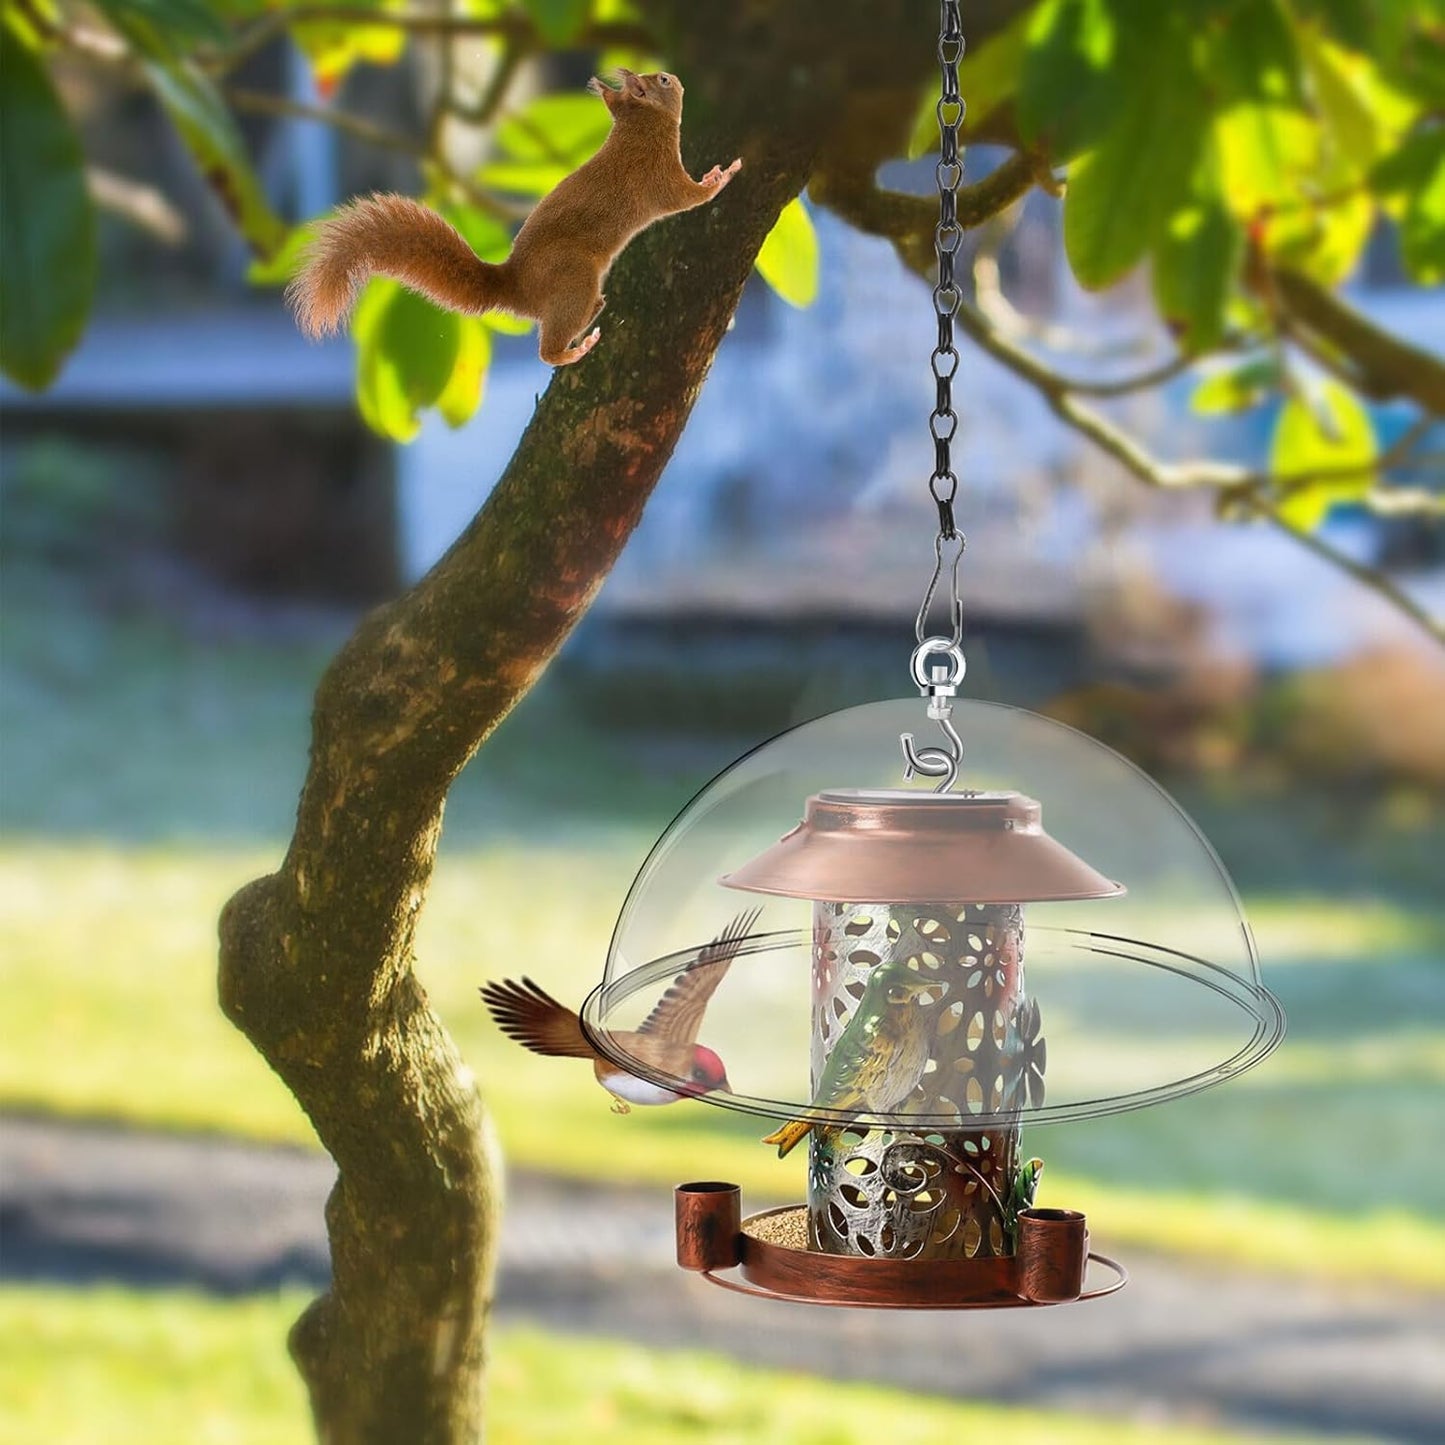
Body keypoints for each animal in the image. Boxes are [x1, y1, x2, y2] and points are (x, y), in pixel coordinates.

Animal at [287, 69, 742, 366]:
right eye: (662, 81)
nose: (675, 77)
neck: (637, 127)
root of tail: (517, 287)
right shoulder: (657, 176)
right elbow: (688, 197)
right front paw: (721, 176)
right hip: (573, 276)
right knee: (547, 351)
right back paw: (575, 348)